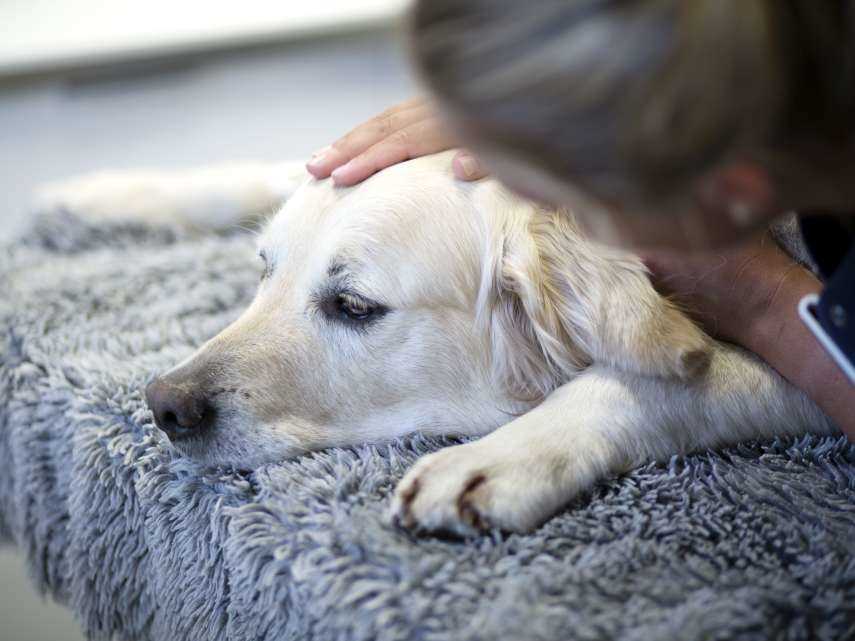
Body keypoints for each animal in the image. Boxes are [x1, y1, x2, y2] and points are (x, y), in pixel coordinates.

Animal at [40, 151, 836, 536]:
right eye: (264, 269)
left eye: (353, 306)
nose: (164, 405)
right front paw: (107, 194)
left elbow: (647, 381)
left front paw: (495, 460)